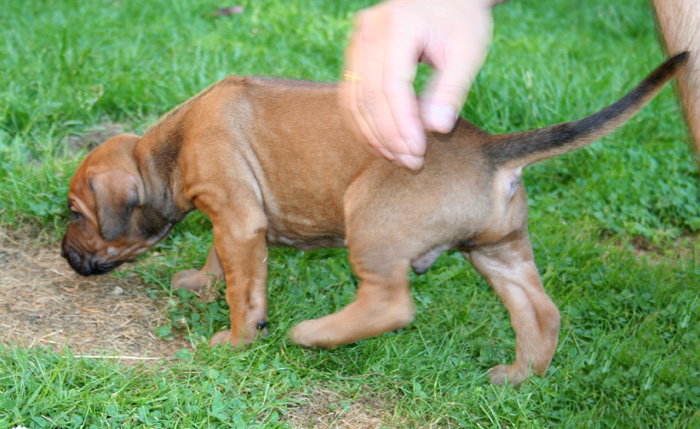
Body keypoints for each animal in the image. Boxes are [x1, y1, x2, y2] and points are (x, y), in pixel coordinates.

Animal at [61, 52, 688, 384]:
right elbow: (227, 263)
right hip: (499, 250)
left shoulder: (237, 217)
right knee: (541, 312)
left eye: (74, 212)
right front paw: (201, 282)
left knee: (391, 305)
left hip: (371, 219)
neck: (169, 150)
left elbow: (245, 289)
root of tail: (491, 150)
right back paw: (517, 377)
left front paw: (236, 339)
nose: (64, 256)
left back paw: (314, 334)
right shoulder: (237, 219)